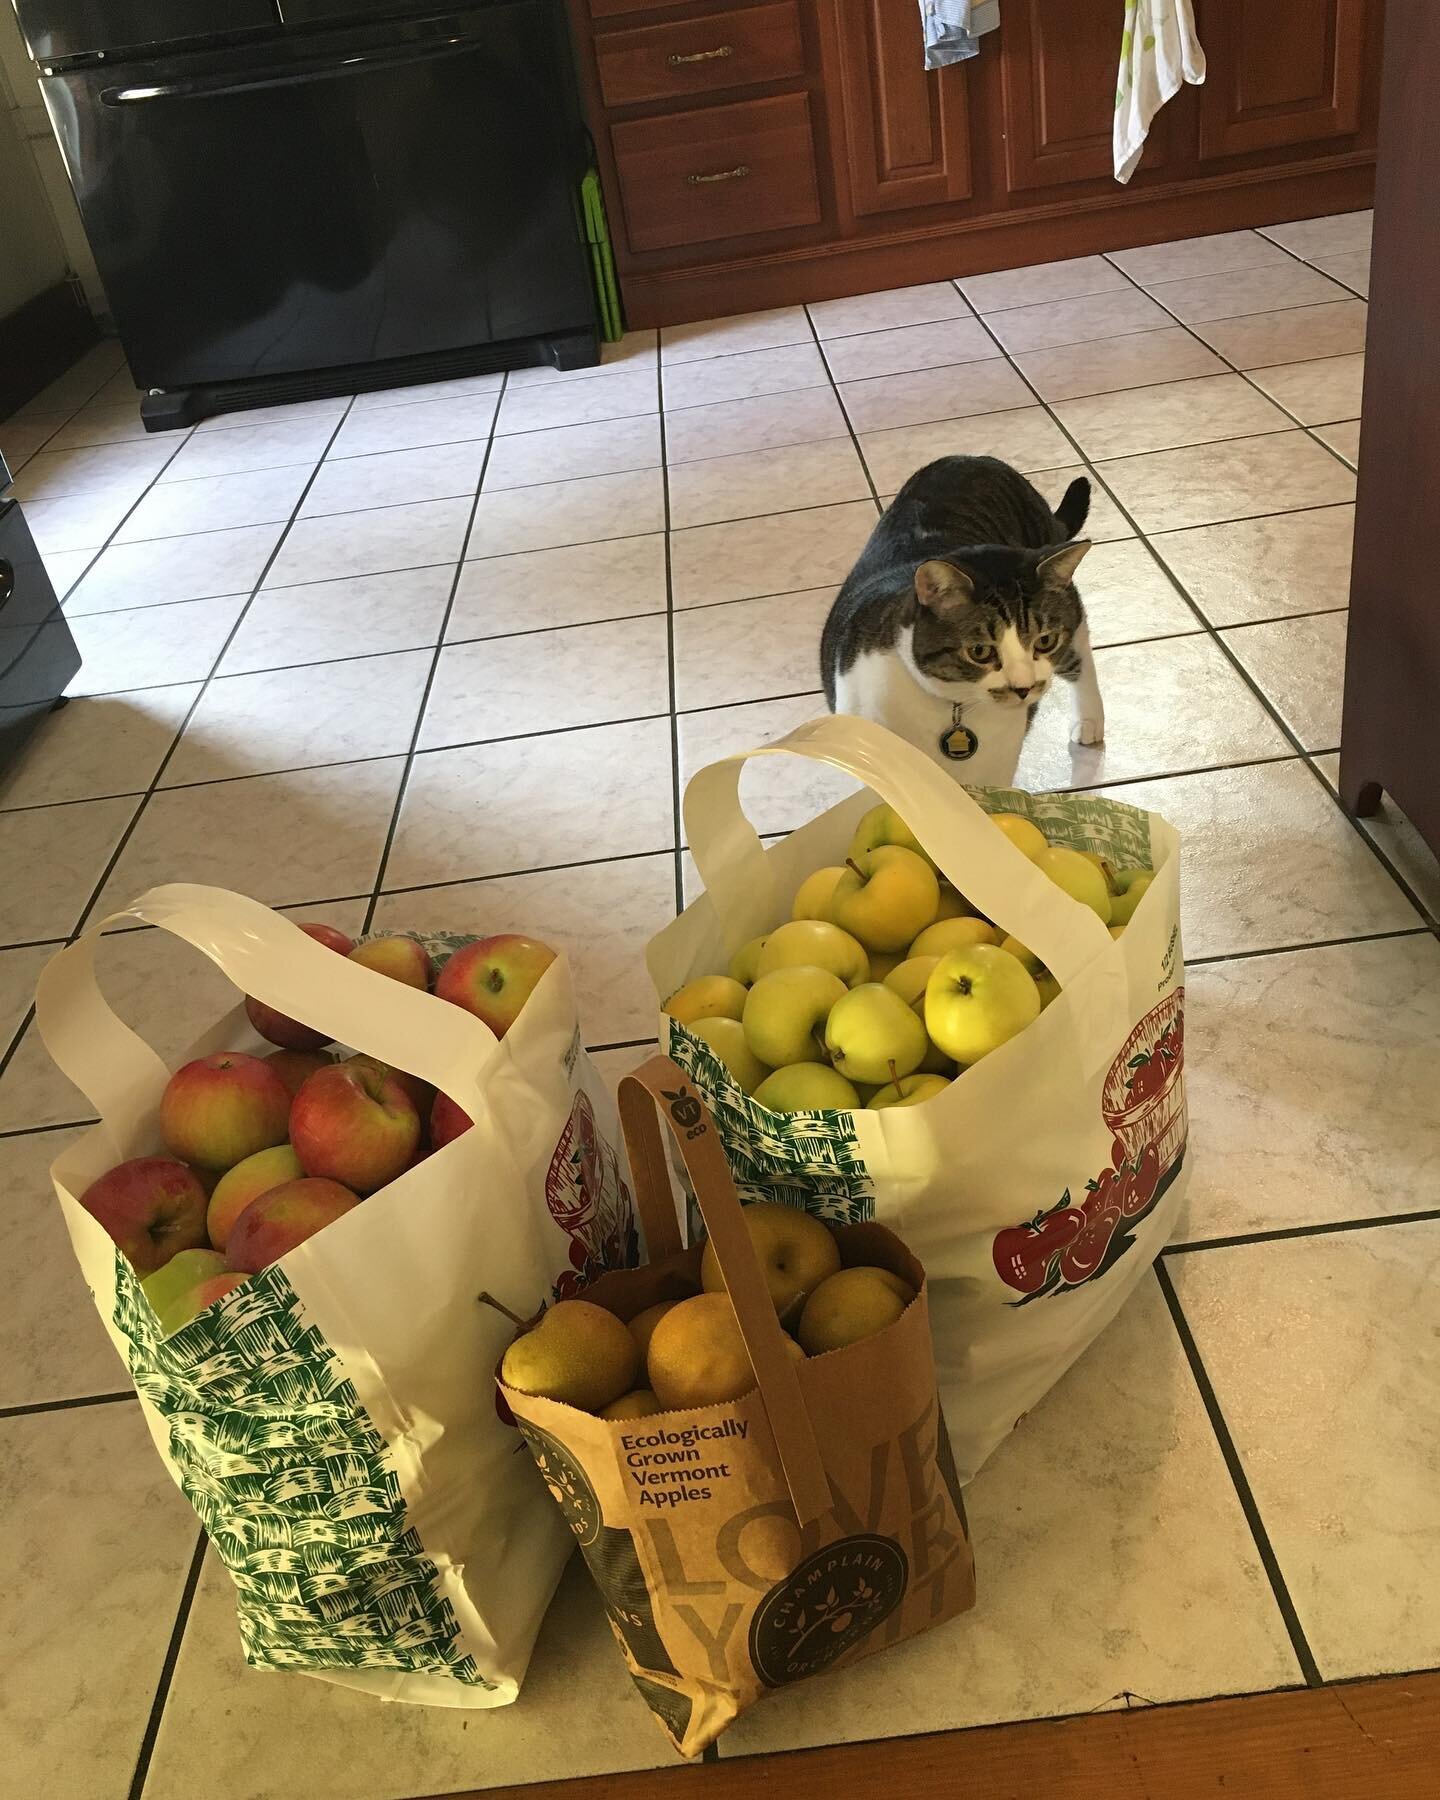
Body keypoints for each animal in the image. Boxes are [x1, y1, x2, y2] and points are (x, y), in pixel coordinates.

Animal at [820, 453, 1101, 784]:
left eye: (1045, 641)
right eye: (980, 651)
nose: (1024, 688)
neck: (954, 706)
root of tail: (975, 458)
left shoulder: (997, 771)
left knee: (1080, 654)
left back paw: (1090, 720)